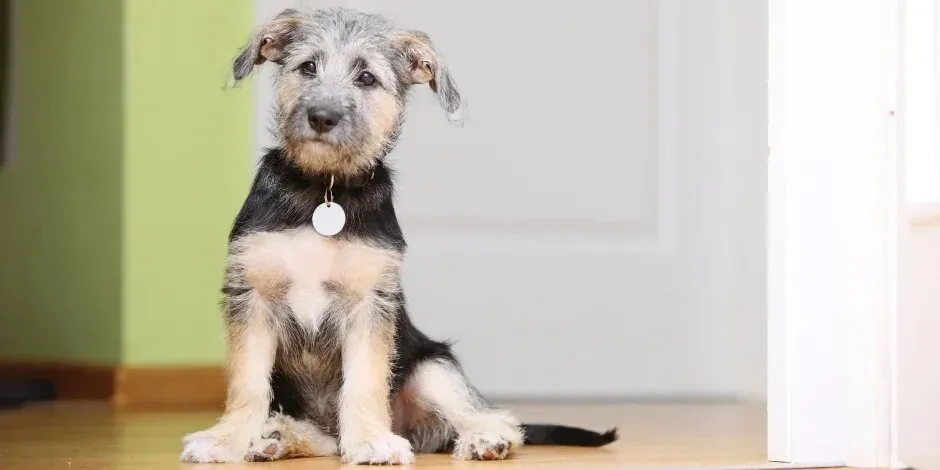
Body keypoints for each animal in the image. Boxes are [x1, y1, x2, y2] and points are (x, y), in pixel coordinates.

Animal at [180, 7, 616, 466]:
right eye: (308, 67)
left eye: (367, 78)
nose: (322, 117)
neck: (325, 190)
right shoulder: (252, 296)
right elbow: (247, 383)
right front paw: (226, 439)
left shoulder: (370, 303)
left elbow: (364, 381)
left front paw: (372, 440)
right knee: (326, 439)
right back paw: (278, 436)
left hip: (433, 366)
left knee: (494, 418)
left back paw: (483, 440)